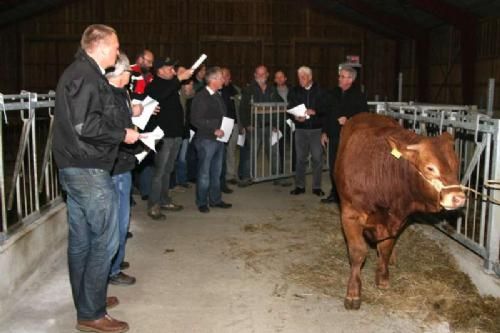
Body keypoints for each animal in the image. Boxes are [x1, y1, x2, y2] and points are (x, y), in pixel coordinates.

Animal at [334, 112, 466, 308]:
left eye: (456, 165)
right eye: (430, 167)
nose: (458, 198)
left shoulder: (399, 218)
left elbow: (386, 248)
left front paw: (382, 277)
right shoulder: (350, 215)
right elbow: (358, 252)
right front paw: (353, 293)